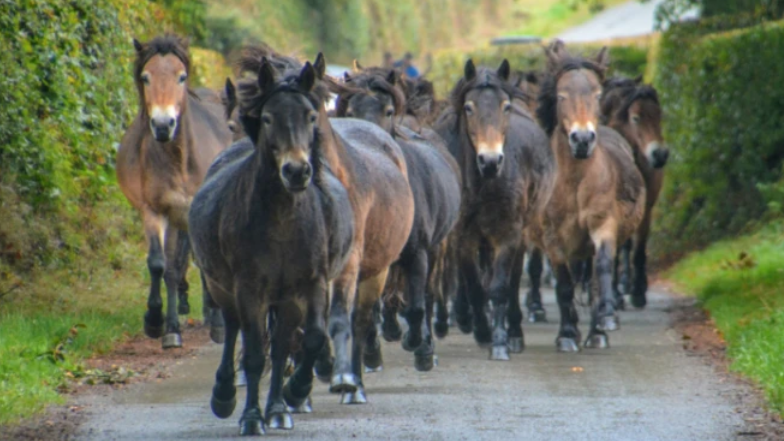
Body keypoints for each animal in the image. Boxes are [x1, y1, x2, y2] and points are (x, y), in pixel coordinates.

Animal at [114, 35, 233, 348]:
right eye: (145, 77)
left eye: (181, 77)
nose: (163, 125)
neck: (179, 158)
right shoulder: (155, 211)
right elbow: (159, 264)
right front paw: (159, 324)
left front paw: (218, 324)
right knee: (173, 266)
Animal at [432, 59, 556, 358]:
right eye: (469, 107)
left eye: (505, 106)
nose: (490, 161)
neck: (484, 183)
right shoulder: (463, 236)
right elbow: (476, 287)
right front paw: (482, 331)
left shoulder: (508, 232)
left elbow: (500, 287)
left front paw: (500, 341)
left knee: (512, 280)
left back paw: (514, 333)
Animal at [536, 40, 648, 350]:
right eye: (561, 95)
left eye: (597, 94)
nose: (583, 139)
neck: (575, 183)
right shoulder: (552, 238)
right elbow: (563, 283)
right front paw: (566, 335)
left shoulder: (603, 225)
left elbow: (603, 269)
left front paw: (604, 323)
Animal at [600, 75, 668, 308]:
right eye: (636, 118)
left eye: (659, 115)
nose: (660, 155)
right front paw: (613, 294)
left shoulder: (646, 208)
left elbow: (639, 249)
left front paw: (638, 293)